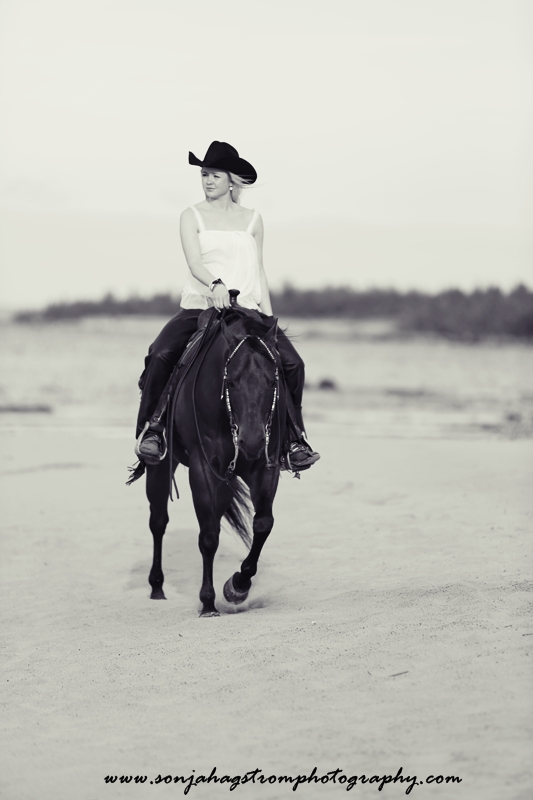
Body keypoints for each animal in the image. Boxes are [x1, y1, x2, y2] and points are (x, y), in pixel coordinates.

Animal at [143, 298, 287, 616]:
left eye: (273, 381)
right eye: (230, 381)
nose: (251, 441)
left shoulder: (265, 466)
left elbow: (263, 523)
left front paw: (238, 586)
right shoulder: (204, 469)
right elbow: (208, 537)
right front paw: (208, 602)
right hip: (161, 467)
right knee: (158, 520)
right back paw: (157, 587)